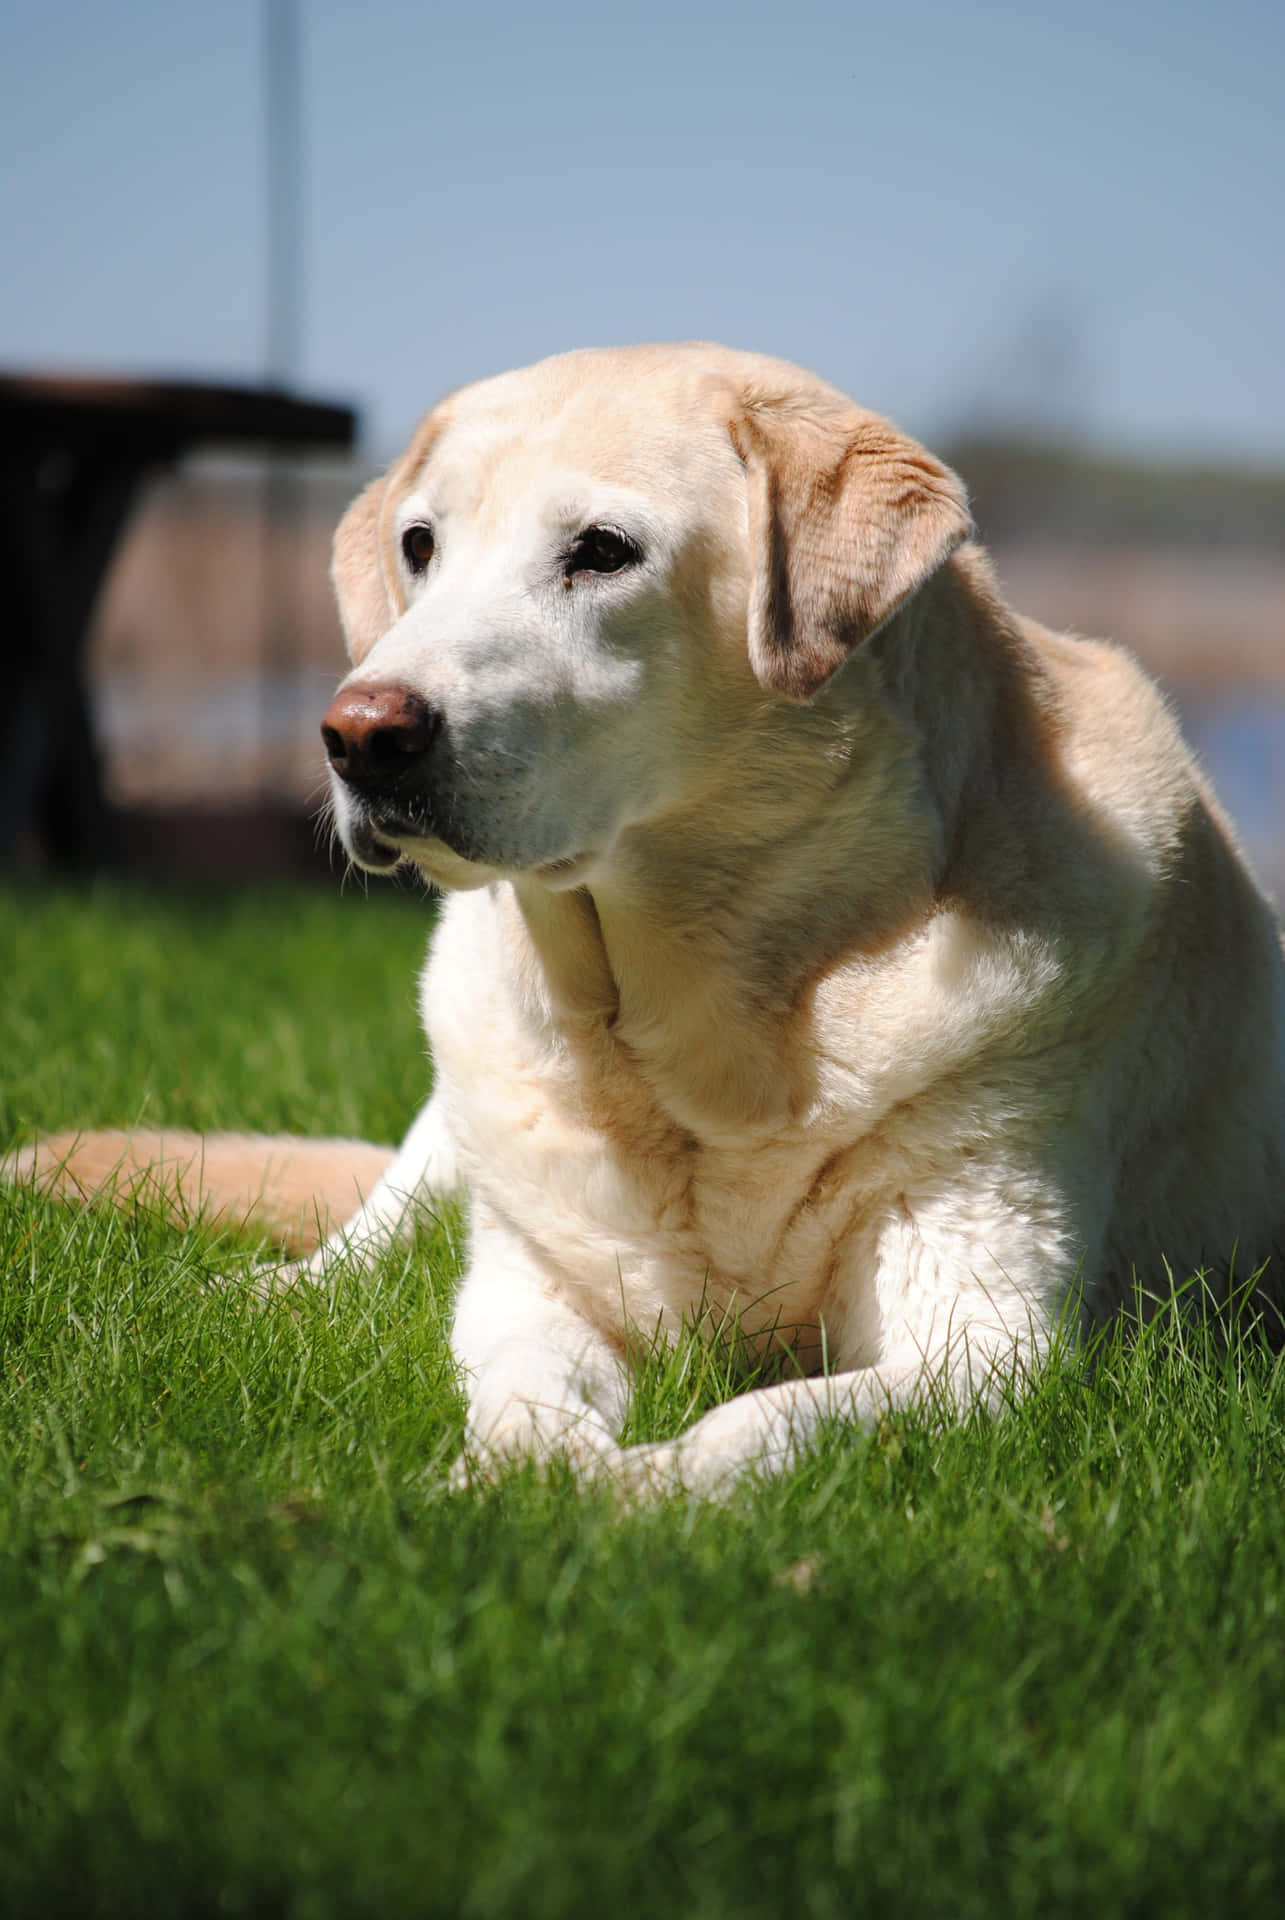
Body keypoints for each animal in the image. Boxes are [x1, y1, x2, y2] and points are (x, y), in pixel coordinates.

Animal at [15, 353, 1283, 1497]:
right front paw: (523, 1480)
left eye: (601, 551)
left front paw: (644, 1494)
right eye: (420, 545)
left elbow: (767, 1420)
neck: (710, 1022)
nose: (360, 733)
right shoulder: (527, 1288)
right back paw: (265, 1297)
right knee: (379, 1222)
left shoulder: (983, 1335)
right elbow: (522, 1393)